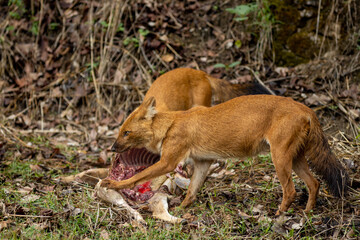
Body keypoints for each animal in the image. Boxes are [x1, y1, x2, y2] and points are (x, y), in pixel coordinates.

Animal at [101, 94, 348, 215]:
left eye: (126, 132)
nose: (112, 148)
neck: (172, 124)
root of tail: (306, 108)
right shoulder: (203, 162)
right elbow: (192, 191)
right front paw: (181, 209)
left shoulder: (168, 162)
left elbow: (137, 176)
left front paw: (112, 184)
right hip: (295, 159)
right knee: (314, 183)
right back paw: (307, 213)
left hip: (279, 158)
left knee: (291, 189)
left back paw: (278, 215)